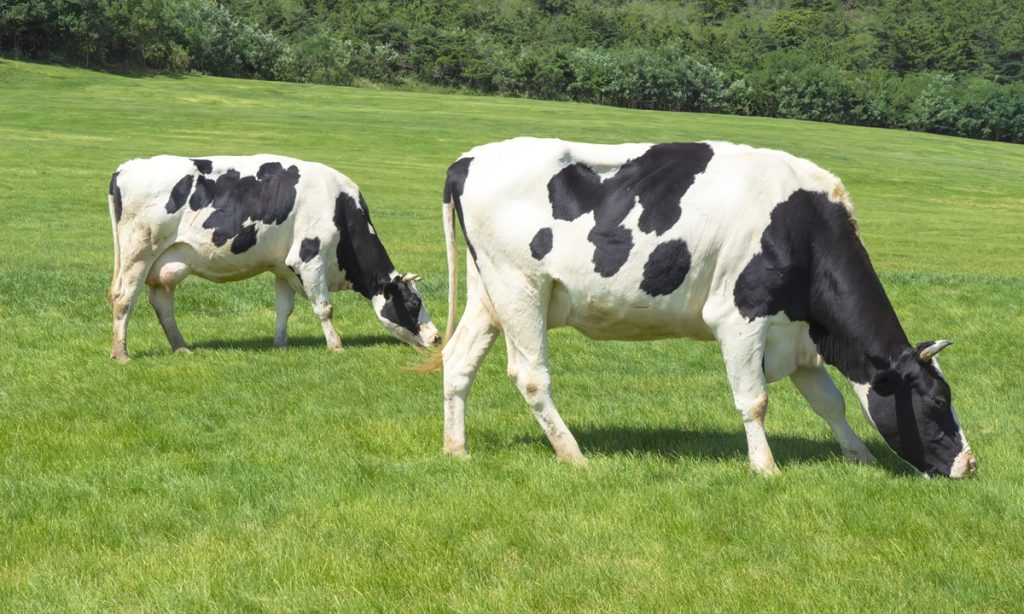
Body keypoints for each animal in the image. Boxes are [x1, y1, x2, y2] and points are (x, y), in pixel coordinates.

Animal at [108, 154, 439, 362]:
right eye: (413, 302)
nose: (437, 338)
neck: (339, 205)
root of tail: (126, 167)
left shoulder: (284, 268)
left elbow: (283, 309)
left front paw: (280, 344)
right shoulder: (309, 258)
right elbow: (325, 308)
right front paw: (335, 345)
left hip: (165, 262)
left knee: (161, 303)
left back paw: (181, 348)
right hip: (138, 252)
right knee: (124, 298)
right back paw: (121, 354)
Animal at [426, 137, 977, 478]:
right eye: (937, 401)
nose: (970, 464)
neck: (803, 226)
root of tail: (468, 158)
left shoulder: (798, 336)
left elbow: (830, 402)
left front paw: (858, 456)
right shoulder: (741, 316)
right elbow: (754, 400)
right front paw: (766, 467)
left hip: (488, 292)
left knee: (458, 361)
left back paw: (457, 449)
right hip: (521, 286)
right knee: (531, 376)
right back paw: (574, 454)